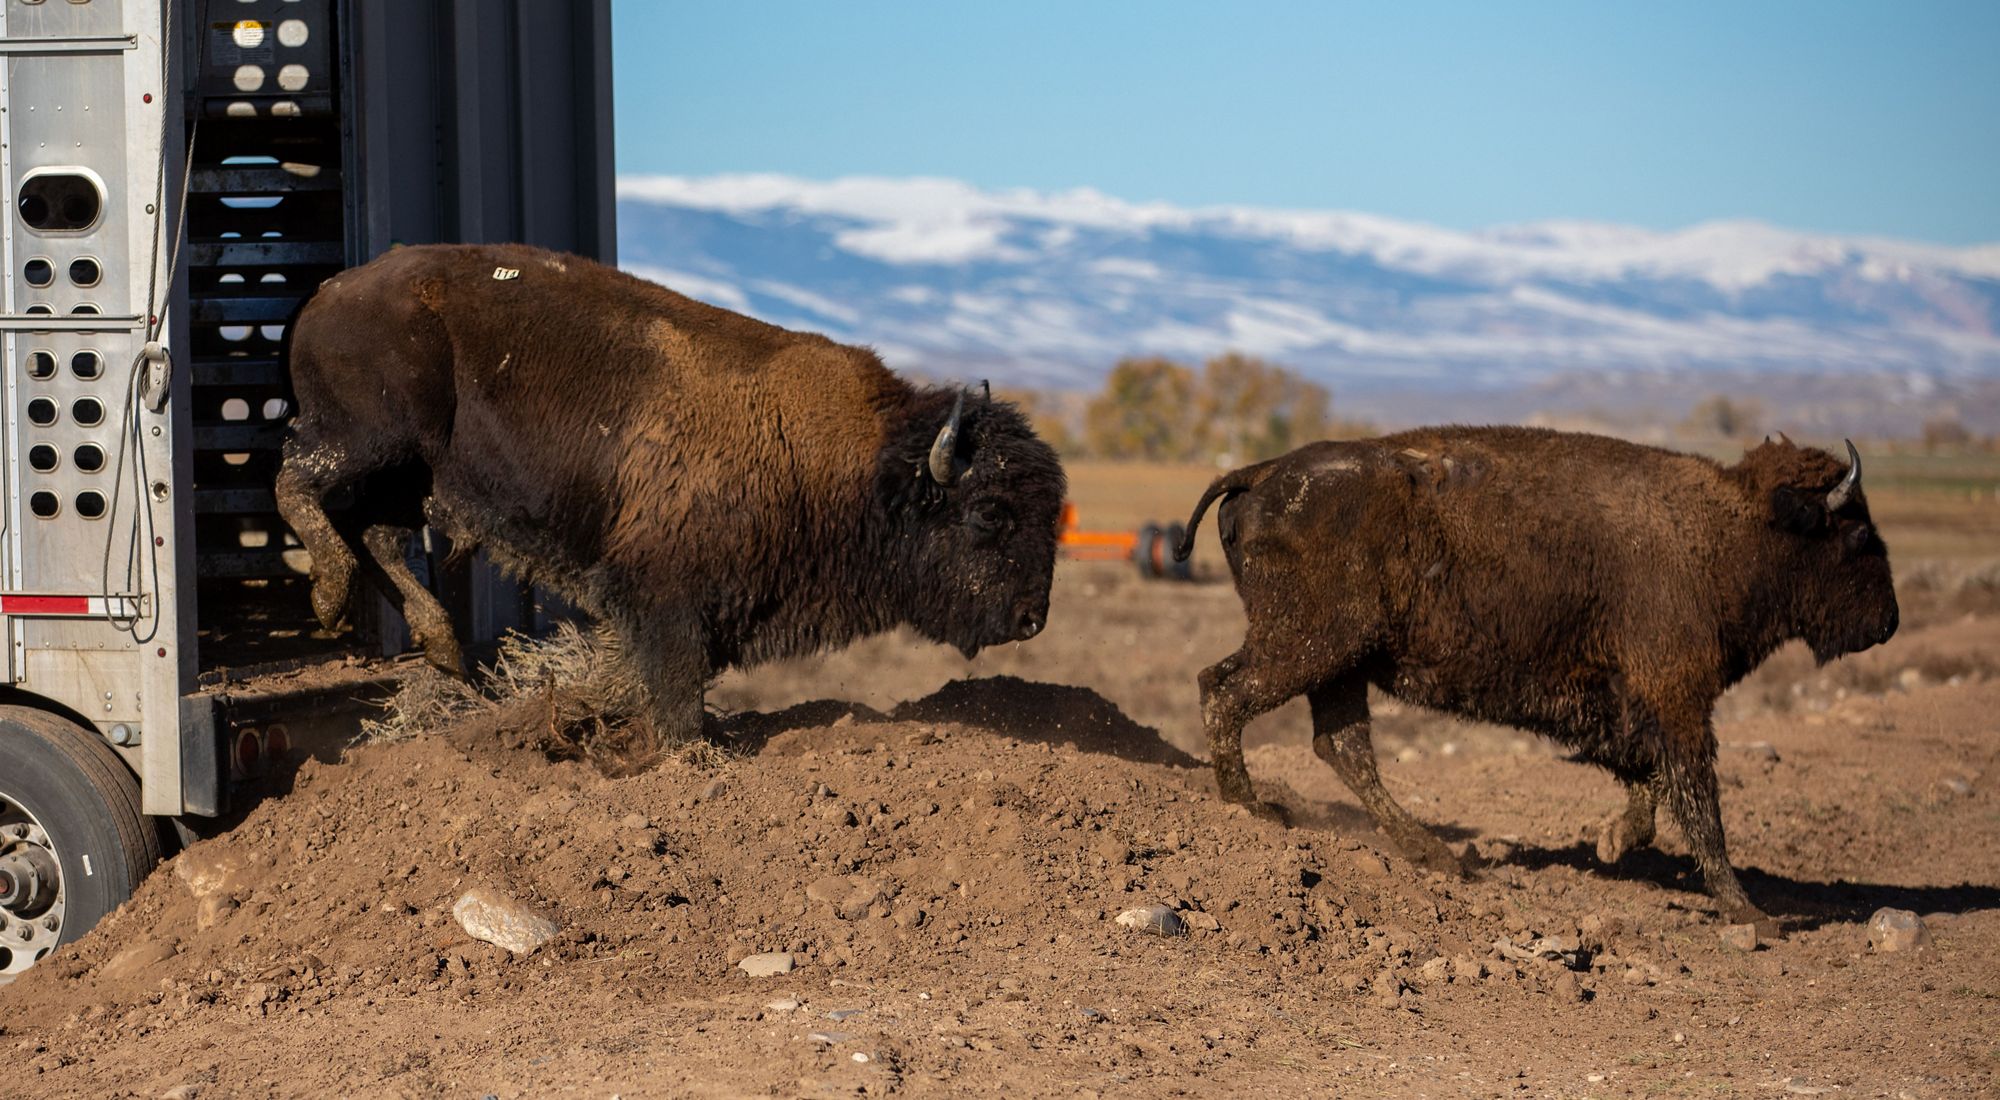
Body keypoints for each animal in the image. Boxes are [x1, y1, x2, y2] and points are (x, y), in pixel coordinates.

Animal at [282, 243, 1072, 740]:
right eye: (989, 514)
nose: (1033, 618)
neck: (858, 465)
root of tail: (329, 293)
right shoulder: (665, 599)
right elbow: (677, 689)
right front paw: (683, 752)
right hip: (369, 443)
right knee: (298, 484)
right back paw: (328, 597)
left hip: (402, 474)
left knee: (377, 535)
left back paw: (444, 649)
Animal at [1176, 432, 1896, 932]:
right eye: (1859, 533)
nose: (1888, 620)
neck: (1728, 528)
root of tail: (1262, 472)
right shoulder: (1678, 700)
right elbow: (1699, 803)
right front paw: (1749, 912)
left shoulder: (1628, 704)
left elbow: (1647, 779)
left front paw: (1613, 843)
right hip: (1313, 648)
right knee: (1225, 690)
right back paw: (1253, 806)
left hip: (1341, 664)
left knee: (1340, 746)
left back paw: (1441, 857)